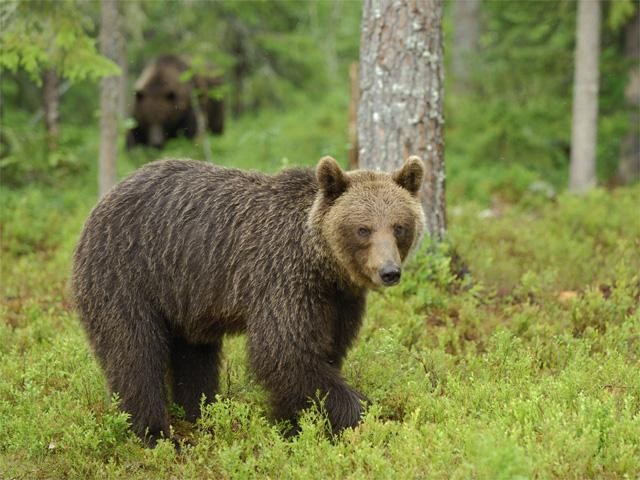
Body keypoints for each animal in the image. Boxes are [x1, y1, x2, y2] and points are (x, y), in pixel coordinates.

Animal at [71, 156, 424, 444]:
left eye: (399, 226)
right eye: (363, 229)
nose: (389, 272)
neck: (323, 266)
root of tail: (100, 204)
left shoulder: (339, 302)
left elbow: (324, 353)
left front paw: (292, 424)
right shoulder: (282, 280)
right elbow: (284, 352)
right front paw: (365, 415)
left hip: (185, 296)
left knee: (194, 357)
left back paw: (201, 413)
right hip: (127, 274)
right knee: (134, 351)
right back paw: (155, 433)